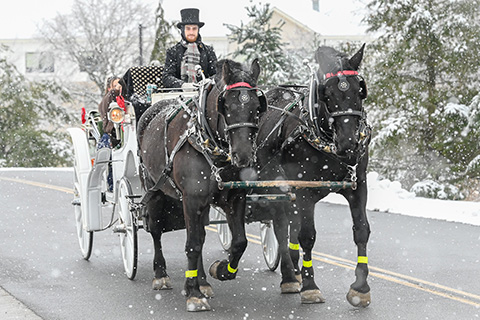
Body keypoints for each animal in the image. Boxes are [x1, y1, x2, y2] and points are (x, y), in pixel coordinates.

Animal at [138, 58, 266, 312]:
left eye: (258, 106)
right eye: (226, 106)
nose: (244, 156)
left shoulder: (233, 197)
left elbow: (239, 241)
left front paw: (221, 270)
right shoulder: (192, 199)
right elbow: (193, 244)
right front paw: (193, 293)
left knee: (200, 234)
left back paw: (204, 281)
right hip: (154, 189)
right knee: (156, 230)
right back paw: (161, 274)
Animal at [255, 45, 372, 308]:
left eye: (360, 91)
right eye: (327, 93)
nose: (348, 142)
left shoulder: (358, 186)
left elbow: (361, 230)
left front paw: (360, 288)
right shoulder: (303, 189)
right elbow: (307, 236)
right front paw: (310, 287)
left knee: (289, 224)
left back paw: (293, 271)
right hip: (277, 189)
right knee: (281, 227)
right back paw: (290, 276)